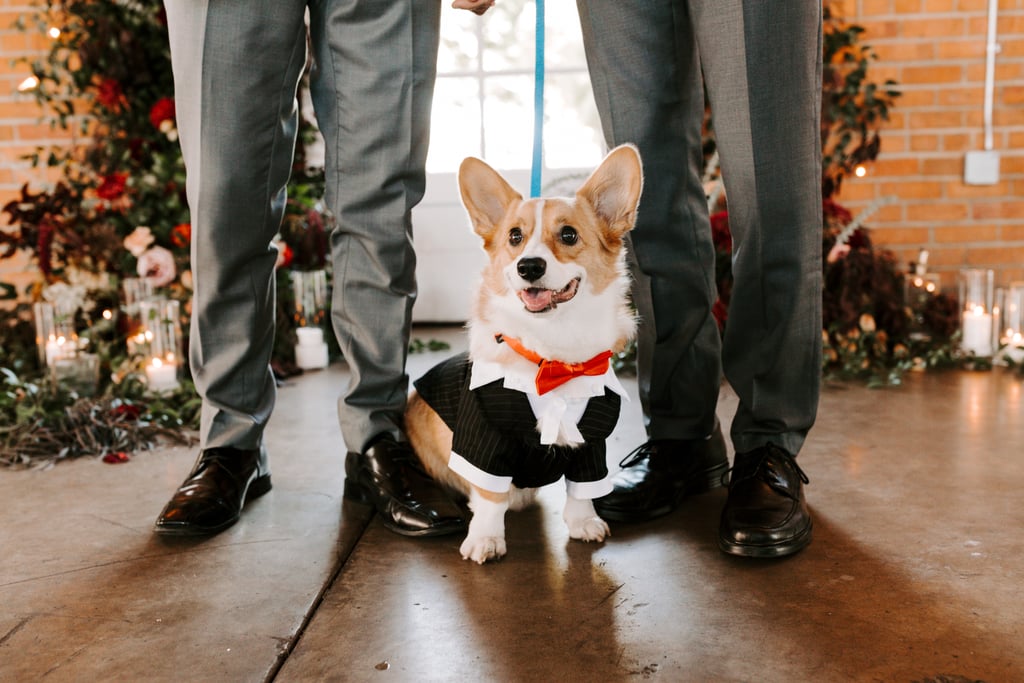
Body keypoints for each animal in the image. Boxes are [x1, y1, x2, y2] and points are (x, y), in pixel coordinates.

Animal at [405, 143, 638, 561]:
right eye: (515, 236)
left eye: (568, 234)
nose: (529, 266)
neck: (554, 355)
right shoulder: (482, 436)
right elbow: (489, 494)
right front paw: (485, 539)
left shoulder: (592, 440)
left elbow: (583, 489)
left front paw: (584, 523)